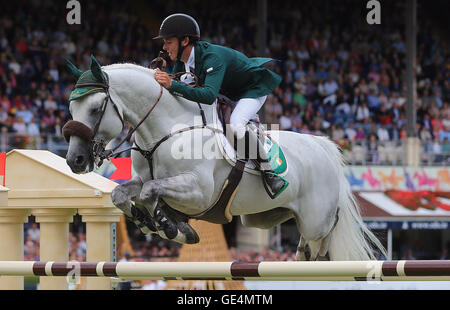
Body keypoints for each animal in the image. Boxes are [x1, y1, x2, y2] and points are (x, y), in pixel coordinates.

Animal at [64, 57, 386, 260]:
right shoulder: (142, 179)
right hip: (265, 218)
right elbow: (122, 193)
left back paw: (315, 253)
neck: (167, 128)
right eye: (71, 108)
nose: (75, 161)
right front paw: (154, 222)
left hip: (315, 217)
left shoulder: (199, 192)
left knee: (330, 227)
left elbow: (150, 192)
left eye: (96, 108)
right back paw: (302, 253)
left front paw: (168, 225)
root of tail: (321, 145)